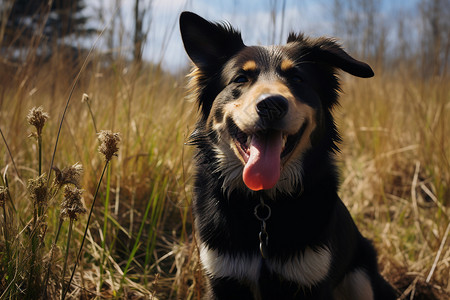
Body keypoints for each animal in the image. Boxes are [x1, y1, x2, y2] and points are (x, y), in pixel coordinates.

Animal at [179, 11, 398, 300]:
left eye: (297, 79)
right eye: (240, 79)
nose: (272, 105)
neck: (262, 206)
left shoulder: (312, 278)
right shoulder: (222, 276)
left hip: (361, 277)